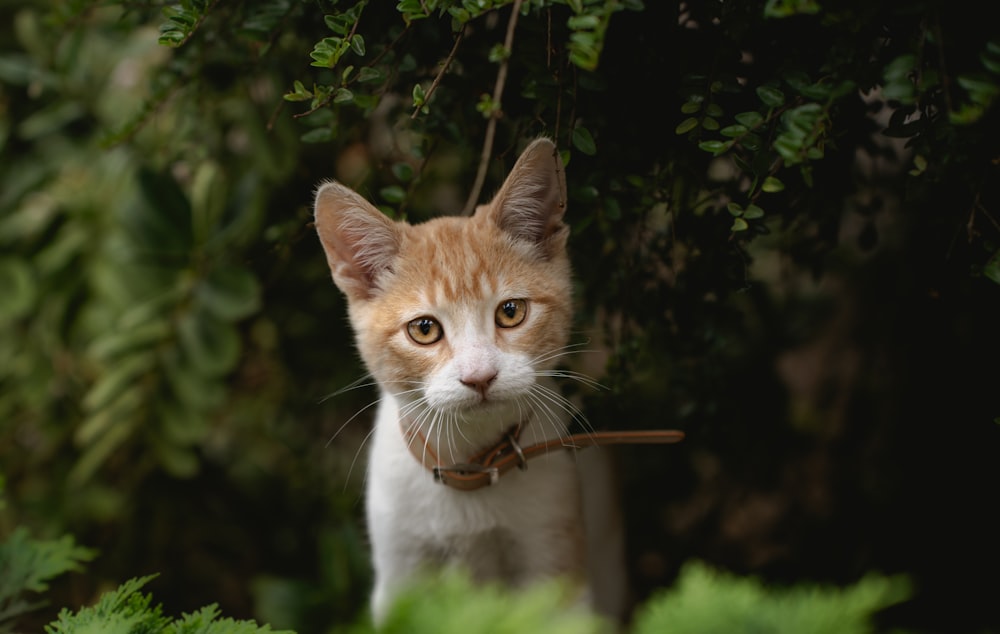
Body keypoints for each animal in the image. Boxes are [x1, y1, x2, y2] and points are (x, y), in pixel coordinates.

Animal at [312, 138, 624, 624]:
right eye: (423, 329)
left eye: (511, 312)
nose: (480, 376)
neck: (471, 467)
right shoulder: (401, 571)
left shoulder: (553, 556)